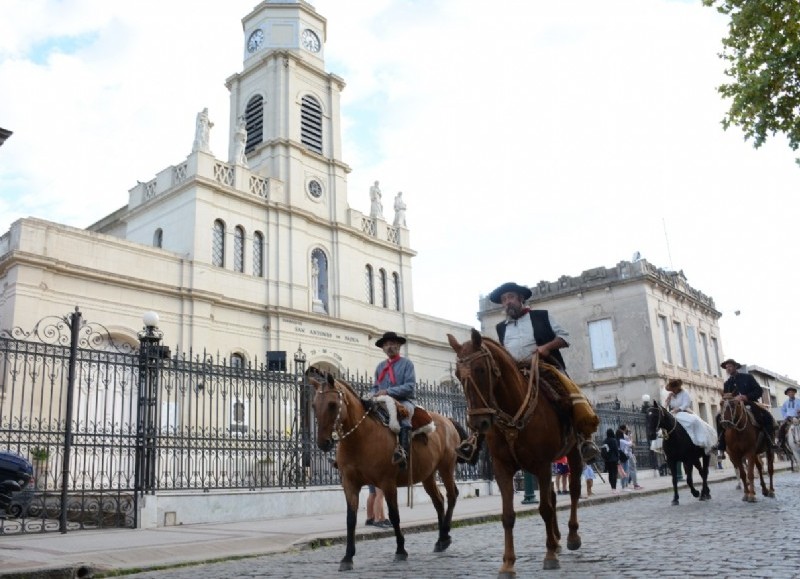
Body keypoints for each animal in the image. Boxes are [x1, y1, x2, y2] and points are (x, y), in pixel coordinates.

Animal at [310, 374, 466, 572]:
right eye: (314, 405)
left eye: (332, 404)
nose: (323, 443)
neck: (360, 438)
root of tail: (448, 420)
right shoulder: (350, 484)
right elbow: (351, 519)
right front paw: (347, 557)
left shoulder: (387, 483)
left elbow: (394, 515)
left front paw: (401, 550)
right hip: (428, 475)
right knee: (438, 501)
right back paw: (440, 540)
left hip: (446, 468)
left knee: (452, 495)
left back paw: (445, 535)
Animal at [446, 328, 584, 576]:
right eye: (457, 374)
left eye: (481, 370)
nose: (478, 423)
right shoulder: (503, 468)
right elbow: (508, 515)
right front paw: (508, 564)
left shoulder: (541, 464)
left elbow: (544, 509)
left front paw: (549, 555)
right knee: (553, 495)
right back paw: (557, 539)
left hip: (573, 453)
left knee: (574, 491)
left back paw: (571, 536)